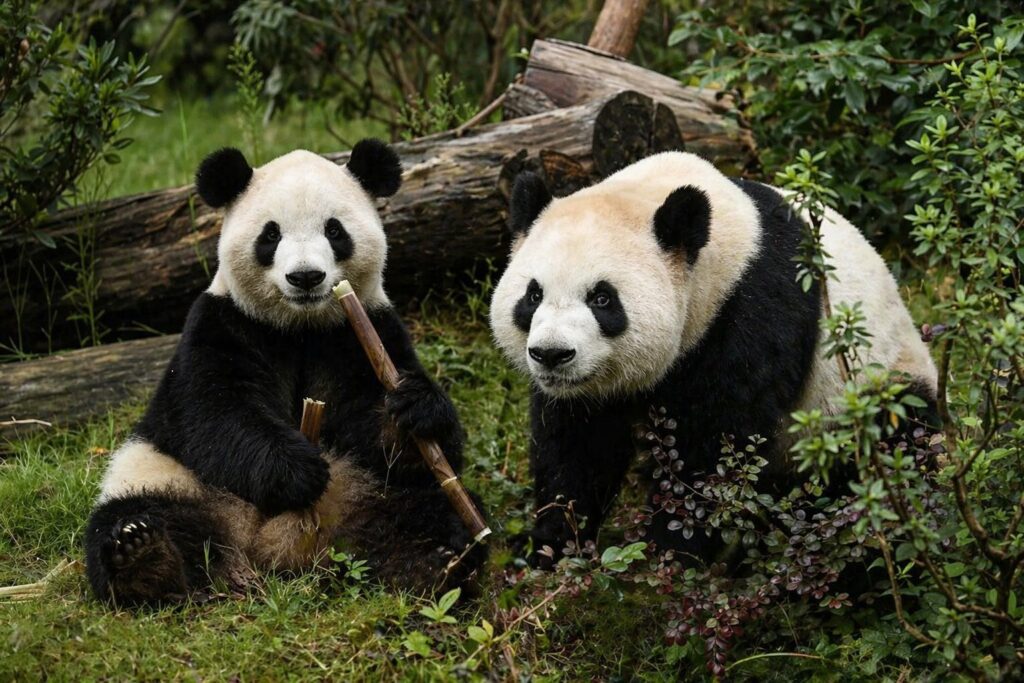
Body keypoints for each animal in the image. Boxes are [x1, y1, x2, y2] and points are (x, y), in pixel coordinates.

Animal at [85, 140, 485, 605]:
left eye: (334, 231)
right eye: (271, 235)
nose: (306, 276)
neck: (300, 327)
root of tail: (268, 547)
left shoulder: (363, 331)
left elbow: (386, 430)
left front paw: (413, 407)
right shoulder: (222, 324)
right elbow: (214, 412)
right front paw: (298, 471)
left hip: (367, 491)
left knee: (426, 510)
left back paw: (441, 562)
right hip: (167, 476)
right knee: (136, 516)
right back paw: (144, 559)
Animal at [489, 151, 938, 566]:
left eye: (602, 298)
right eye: (533, 295)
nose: (551, 354)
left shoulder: (752, 313)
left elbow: (716, 446)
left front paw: (669, 554)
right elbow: (580, 444)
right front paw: (549, 545)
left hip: (869, 397)